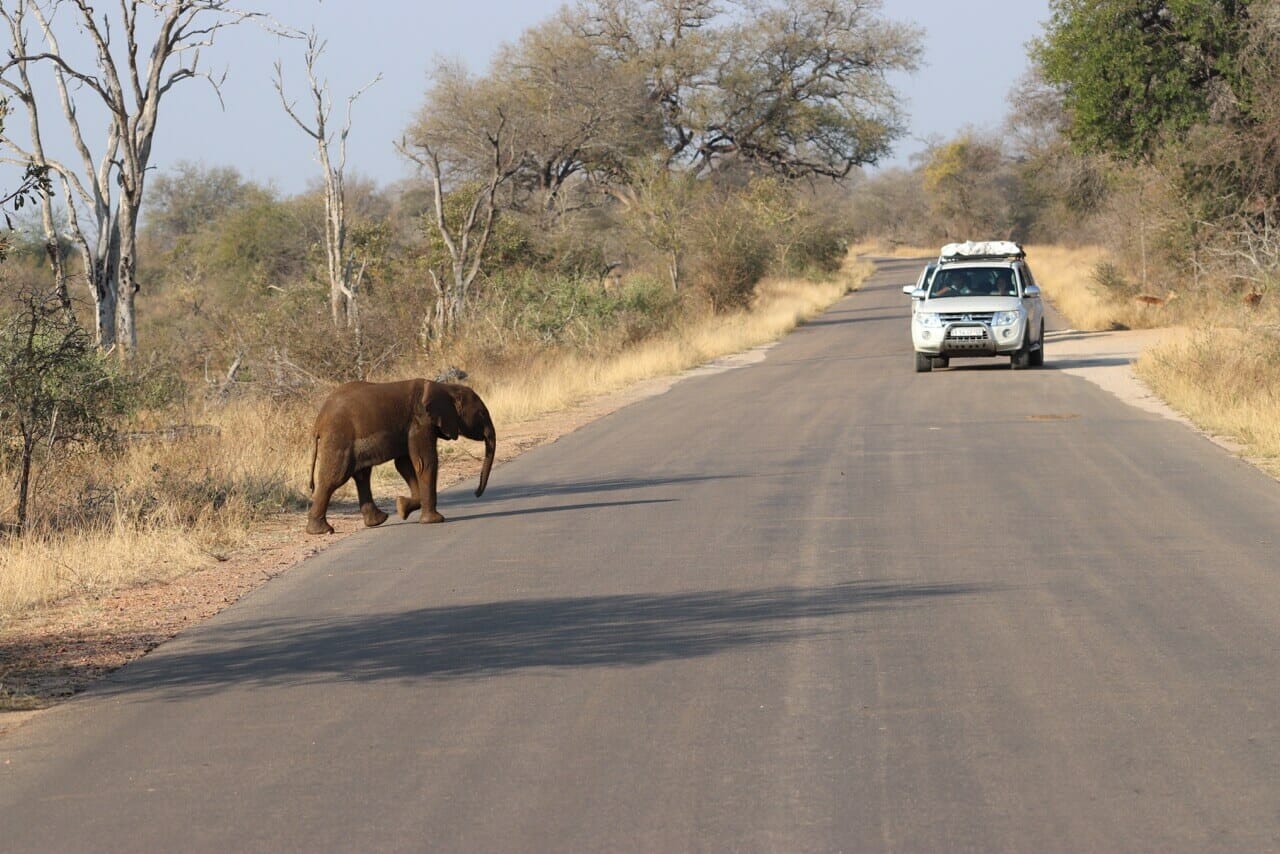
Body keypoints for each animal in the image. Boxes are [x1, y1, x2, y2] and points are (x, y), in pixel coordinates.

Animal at [304, 381, 494, 535]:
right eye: (481, 414)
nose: (476, 493)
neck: (446, 388)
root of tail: (318, 421)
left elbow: (405, 465)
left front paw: (402, 507)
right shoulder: (421, 423)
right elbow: (424, 462)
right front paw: (434, 521)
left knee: (362, 475)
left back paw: (378, 520)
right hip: (339, 439)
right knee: (334, 478)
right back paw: (322, 531)